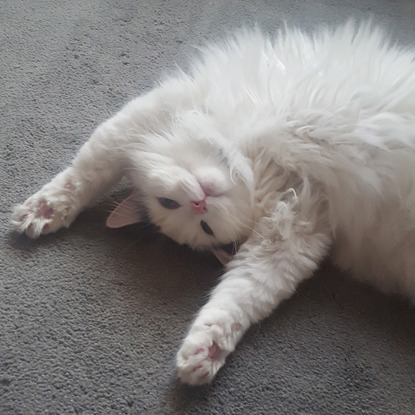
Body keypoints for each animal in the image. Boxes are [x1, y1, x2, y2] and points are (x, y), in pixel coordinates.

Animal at [11, 22, 415, 386]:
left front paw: (43, 210)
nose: (199, 204)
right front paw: (204, 351)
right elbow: (238, 298)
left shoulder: (158, 108)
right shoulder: (294, 234)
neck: (258, 164)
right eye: (184, 213)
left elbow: (84, 172)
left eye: (168, 202)